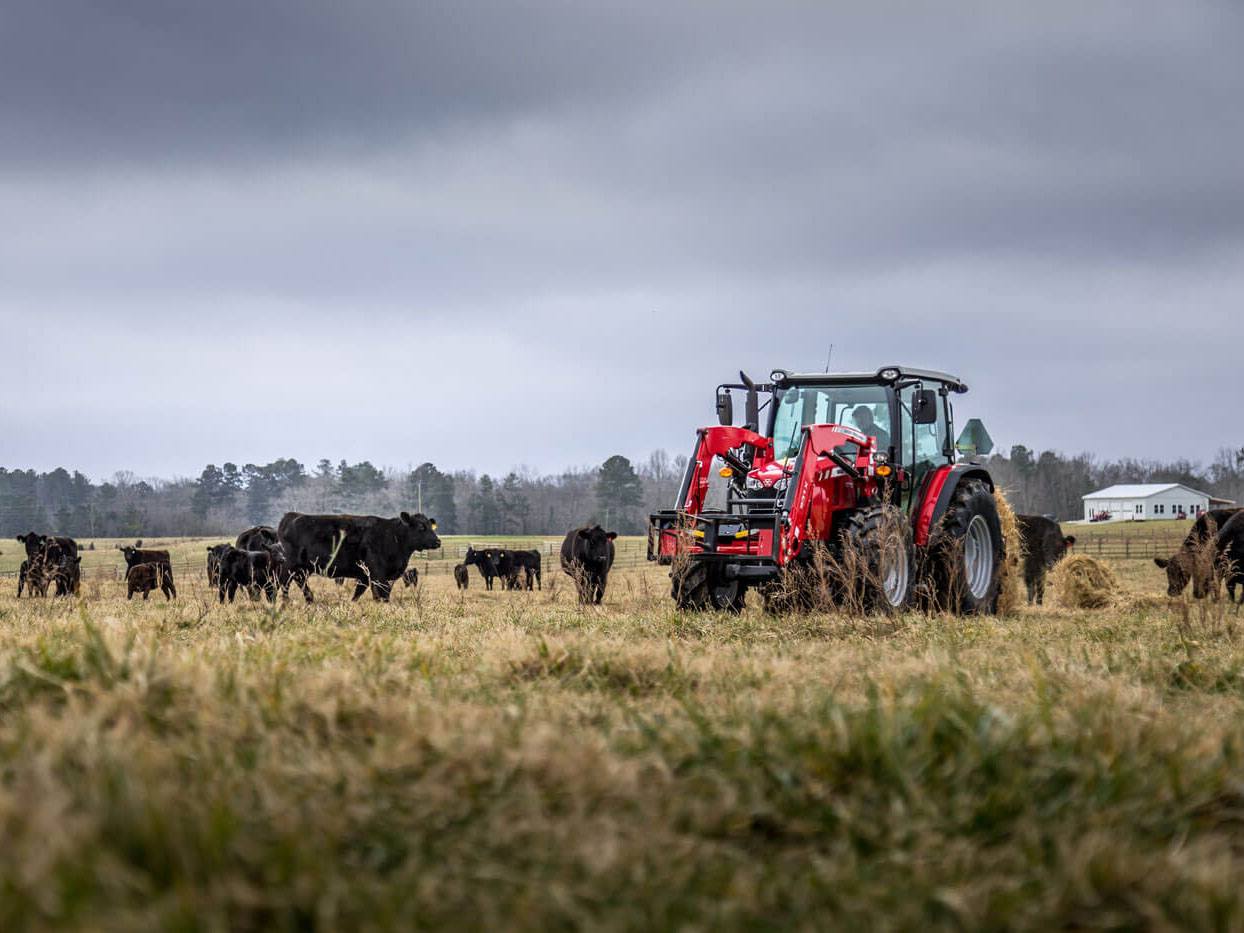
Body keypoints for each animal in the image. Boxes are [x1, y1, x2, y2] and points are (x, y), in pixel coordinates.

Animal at [277, 512, 442, 607]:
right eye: (421, 527)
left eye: (430, 526)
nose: (438, 541)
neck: (393, 536)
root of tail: (292, 516)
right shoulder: (377, 574)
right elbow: (380, 595)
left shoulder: (371, 576)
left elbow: (360, 592)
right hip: (289, 565)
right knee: (284, 582)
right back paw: (286, 602)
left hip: (304, 568)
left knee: (300, 581)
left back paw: (309, 600)